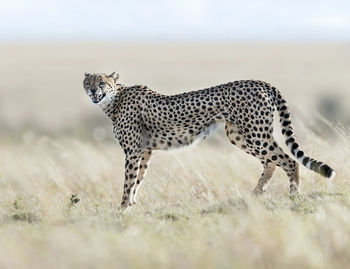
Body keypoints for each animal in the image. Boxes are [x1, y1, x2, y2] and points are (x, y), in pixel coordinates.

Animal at [82, 73, 336, 209]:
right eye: (88, 83)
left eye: (102, 83)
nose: (93, 91)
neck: (114, 100)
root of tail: (261, 82)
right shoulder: (144, 151)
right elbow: (138, 179)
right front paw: (132, 204)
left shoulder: (133, 151)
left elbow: (129, 180)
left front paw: (123, 207)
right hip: (239, 134)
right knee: (271, 162)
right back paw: (255, 194)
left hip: (255, 133)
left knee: (289, 161)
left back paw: (294, 196)